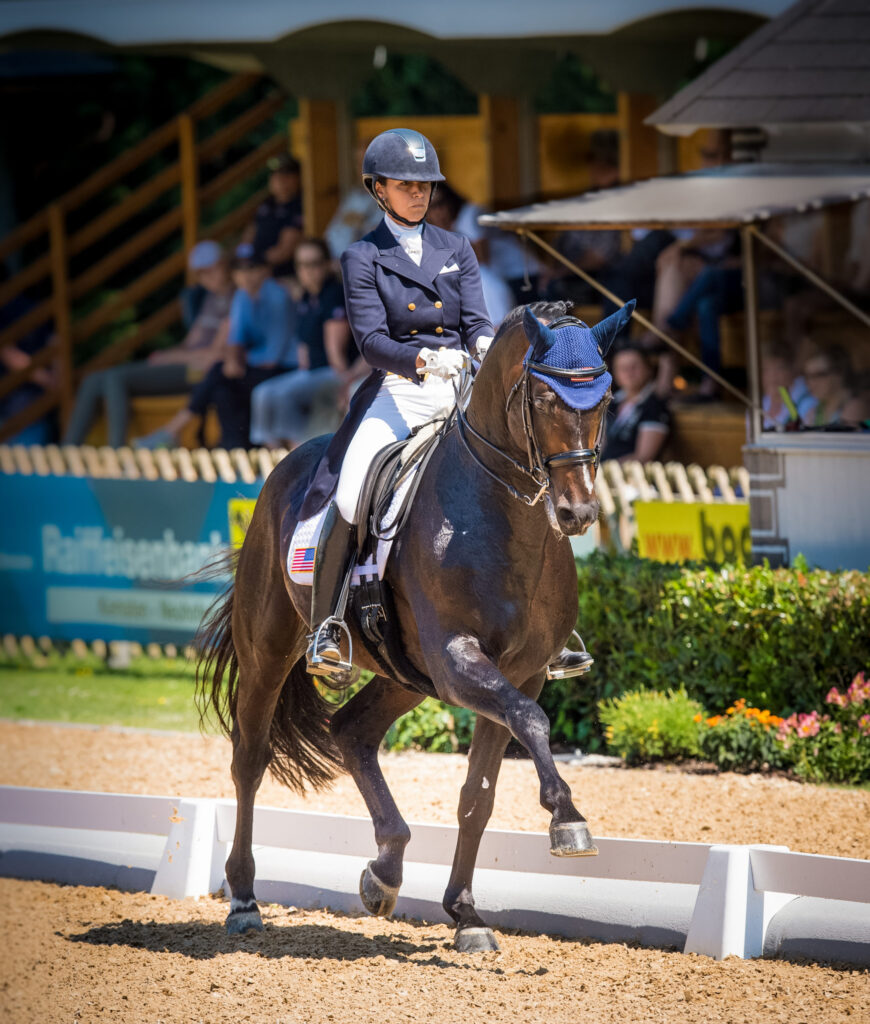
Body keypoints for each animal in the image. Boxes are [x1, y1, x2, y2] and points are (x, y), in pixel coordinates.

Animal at [194, 299, 630, 950]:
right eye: (543, 397)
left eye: (603, 399)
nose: (576, 513)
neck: (501, 519)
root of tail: (290, 462)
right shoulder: (457, 659)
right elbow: (531, 721)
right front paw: (567, 820)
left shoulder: (520, 672)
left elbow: (479, 795)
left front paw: (467, 915)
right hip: (269, 649)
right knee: (249, 757)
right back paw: (245, 900)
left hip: (403, 674)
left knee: (351, 731)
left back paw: (385, 871)